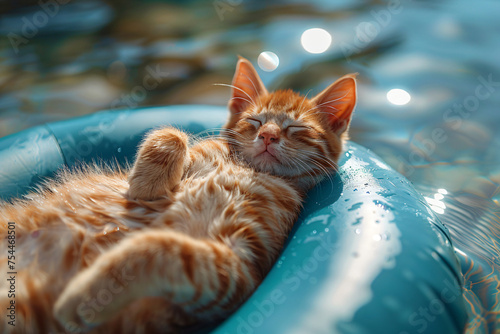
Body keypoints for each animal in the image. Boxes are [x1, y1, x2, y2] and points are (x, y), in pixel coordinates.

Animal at [0, 57, 356, 334]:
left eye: (297, 129)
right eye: (255, 121)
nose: (268, 136)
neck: (246, 169)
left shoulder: (237, 269)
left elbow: (160, 250)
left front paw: (87, 296)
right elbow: (172, 134)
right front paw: (146, 182)